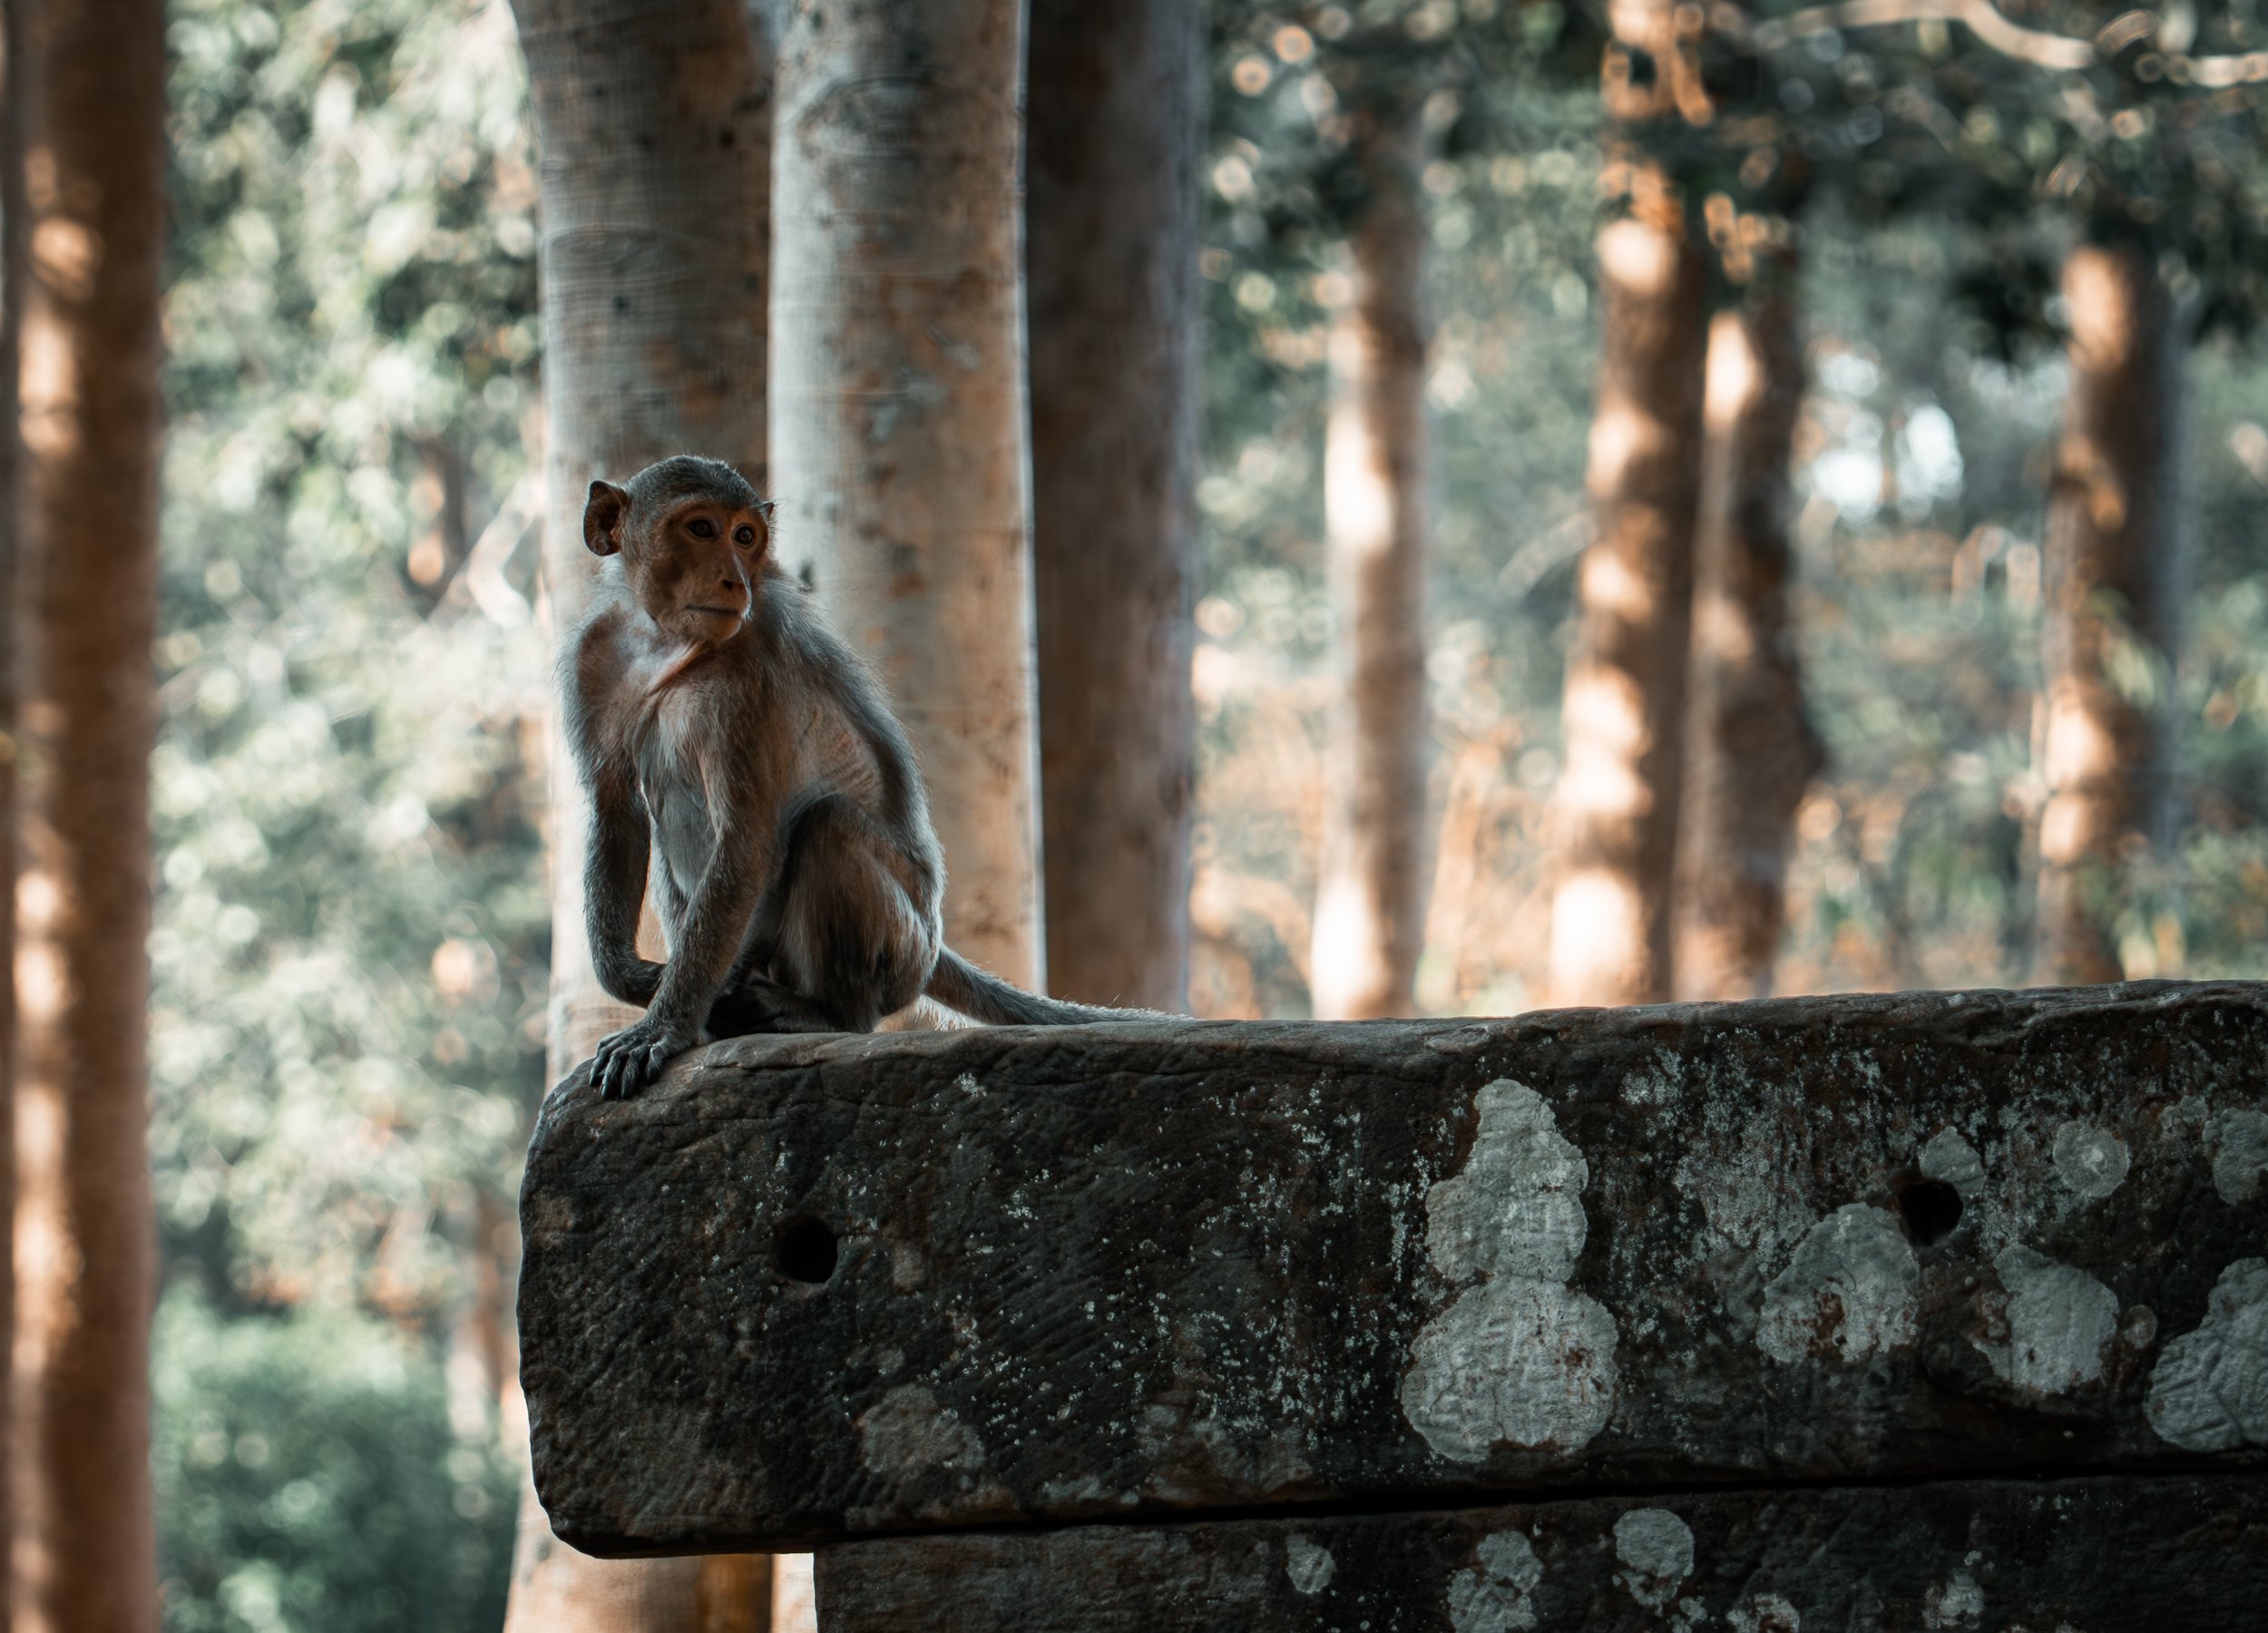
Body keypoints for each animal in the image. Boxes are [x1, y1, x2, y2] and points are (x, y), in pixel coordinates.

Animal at [562, 454, 1162, 1099]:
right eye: (702, 529)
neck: (666, 643)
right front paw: (637, 981)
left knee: (829, 827)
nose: (735, 582)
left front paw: (664, 1024)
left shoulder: (744, 682)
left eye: (745, 537)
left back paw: (824, 1014)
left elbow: (746, 842)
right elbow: (617, 811)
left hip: (902, 952)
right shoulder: (593, 657)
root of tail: (932, 941)